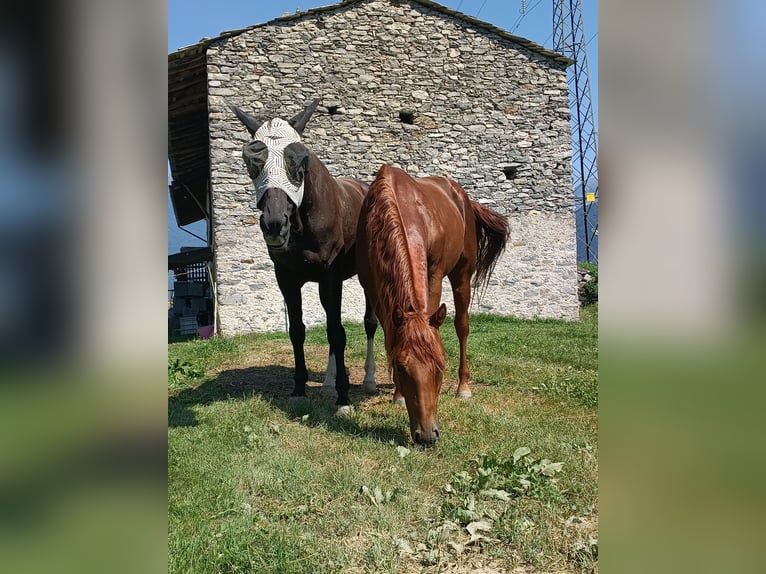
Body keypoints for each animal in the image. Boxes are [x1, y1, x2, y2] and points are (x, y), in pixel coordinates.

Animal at [230, 100, 378, 415]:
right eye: (251, 161)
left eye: (300, 159)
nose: (274, 223)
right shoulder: (287, 278)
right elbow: (299, 330)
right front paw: (300, 389)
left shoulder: (330, 276)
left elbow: (337, 332)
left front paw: (344, 398)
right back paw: (328, 383)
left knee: (369, 322)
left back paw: (368, 380)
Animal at [356, 164, 510, 445]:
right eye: (400, 367)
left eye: (440, 366)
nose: (427, 435)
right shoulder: (370, 285)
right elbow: (387, 336)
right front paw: (398, 394)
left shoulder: (434, 273)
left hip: (462, 275)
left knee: (462, 326)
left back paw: (463, 387)